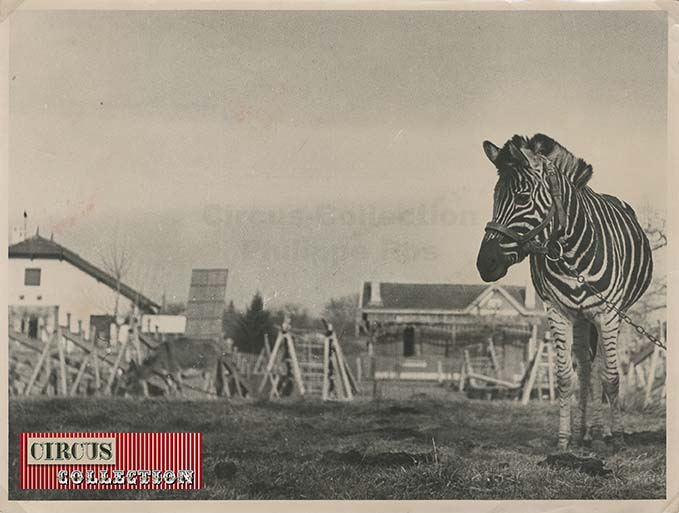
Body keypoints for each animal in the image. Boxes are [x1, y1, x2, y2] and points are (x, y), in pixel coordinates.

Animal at [476, 134, 656, 450]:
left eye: (522, 199)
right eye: (495, 199)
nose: (484, 264)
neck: (570, 251)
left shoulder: (608, 313)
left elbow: (611, 377)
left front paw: (618, 437)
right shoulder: (558, 312)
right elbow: (564, 377)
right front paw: (564, 439)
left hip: (609, 315)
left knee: (599, 370)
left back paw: (603, 433)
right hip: (582, 318)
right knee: (585, 369)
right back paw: (586, 432)